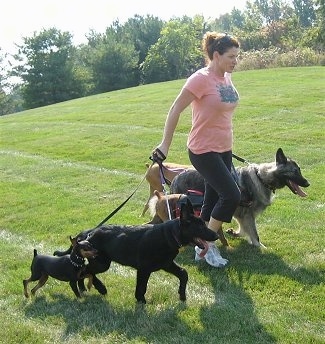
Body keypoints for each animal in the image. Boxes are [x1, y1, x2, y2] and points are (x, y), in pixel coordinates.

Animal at [85, 199, 216, 304]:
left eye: (204, 225)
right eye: (200, 227)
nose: (216, 235)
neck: (170, 235)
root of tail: (90, 233)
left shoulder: (167, 264)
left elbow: (183, 273)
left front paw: (182, 295)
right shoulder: (144, 269)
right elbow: (141, 287)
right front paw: (141, 301)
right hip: (102, 264)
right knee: (87, 270)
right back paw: (101, 288)